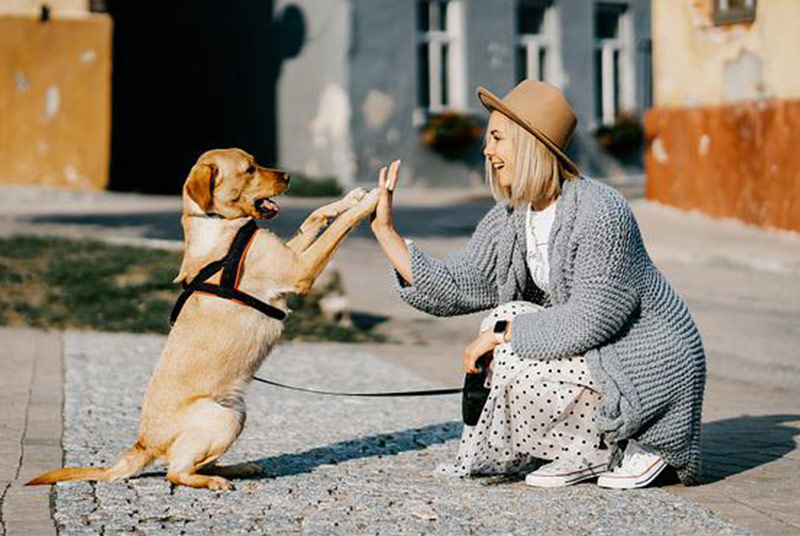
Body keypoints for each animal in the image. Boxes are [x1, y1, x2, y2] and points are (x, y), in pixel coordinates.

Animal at [27, 148, 382, 490]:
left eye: (256, 162)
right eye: (250, 169)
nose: (289, 176)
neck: (220, 225)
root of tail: (143, 444)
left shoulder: (290, 256)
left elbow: (315, 217)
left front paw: (351, 198)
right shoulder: (299, 270)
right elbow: (337, 228)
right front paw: (371, 201)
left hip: (237, 411)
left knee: (196, 463)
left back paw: (238, 468)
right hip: (222, 418)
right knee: (176, 472)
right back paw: (213, 481)